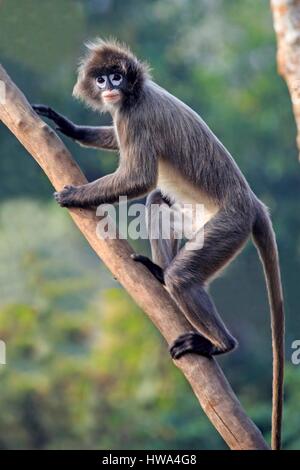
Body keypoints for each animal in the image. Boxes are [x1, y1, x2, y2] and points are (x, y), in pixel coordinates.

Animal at [32, 38, 284, 450]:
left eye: (116, 76)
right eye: (101, 78)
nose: (110, 86)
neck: (134, 95)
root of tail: (252, 203)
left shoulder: (134, 116)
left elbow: (139, 177)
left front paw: (73, 196)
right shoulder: (122, 115)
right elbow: (135, 169)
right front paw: (67, 125)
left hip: (229, 227)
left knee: (182, 275)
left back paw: (217, 343)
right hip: (200, 216)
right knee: (157, 203)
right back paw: (158, 272)